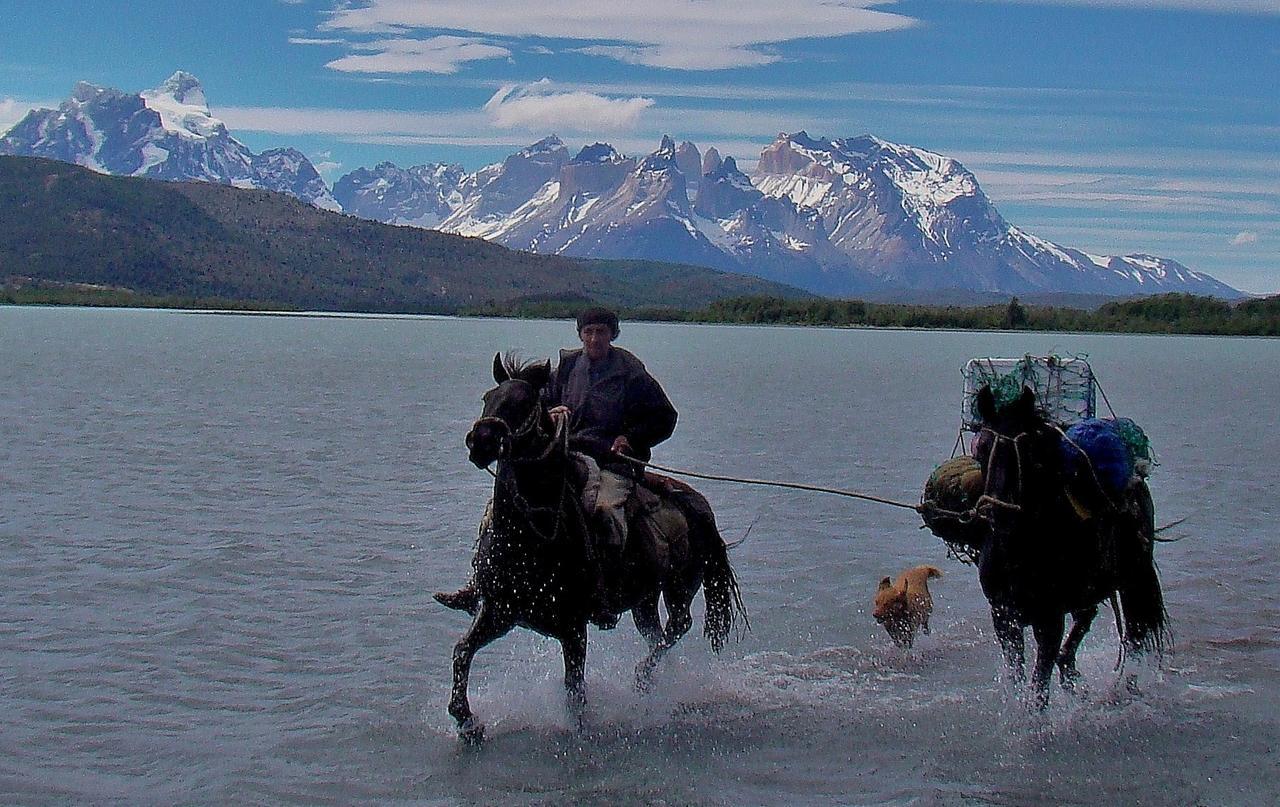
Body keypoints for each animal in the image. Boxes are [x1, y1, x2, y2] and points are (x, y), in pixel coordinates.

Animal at [453, 350, 747, 742]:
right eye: (488, 397)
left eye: (524, 402)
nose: (480, 441)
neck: (530, 535)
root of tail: (696, 504)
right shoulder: (500, 612)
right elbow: (463, 651)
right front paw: (467, 721)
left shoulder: (573, 627)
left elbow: (575, 689)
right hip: (644, 599)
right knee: (656, 634)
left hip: (679, 588)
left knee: (678, 626)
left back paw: (643, 679)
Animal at [967, 386, 1172, 707]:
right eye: (981, 448)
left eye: (1028, 452)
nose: (998, 513)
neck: (1020, 548)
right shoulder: (1003, 617)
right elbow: (1017, 676)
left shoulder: (1049, 619)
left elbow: (1039, 687)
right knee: (1086, 619)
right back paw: (1074, 678)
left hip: (1132, 577)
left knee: (1135, 633)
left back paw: (1126, 686)